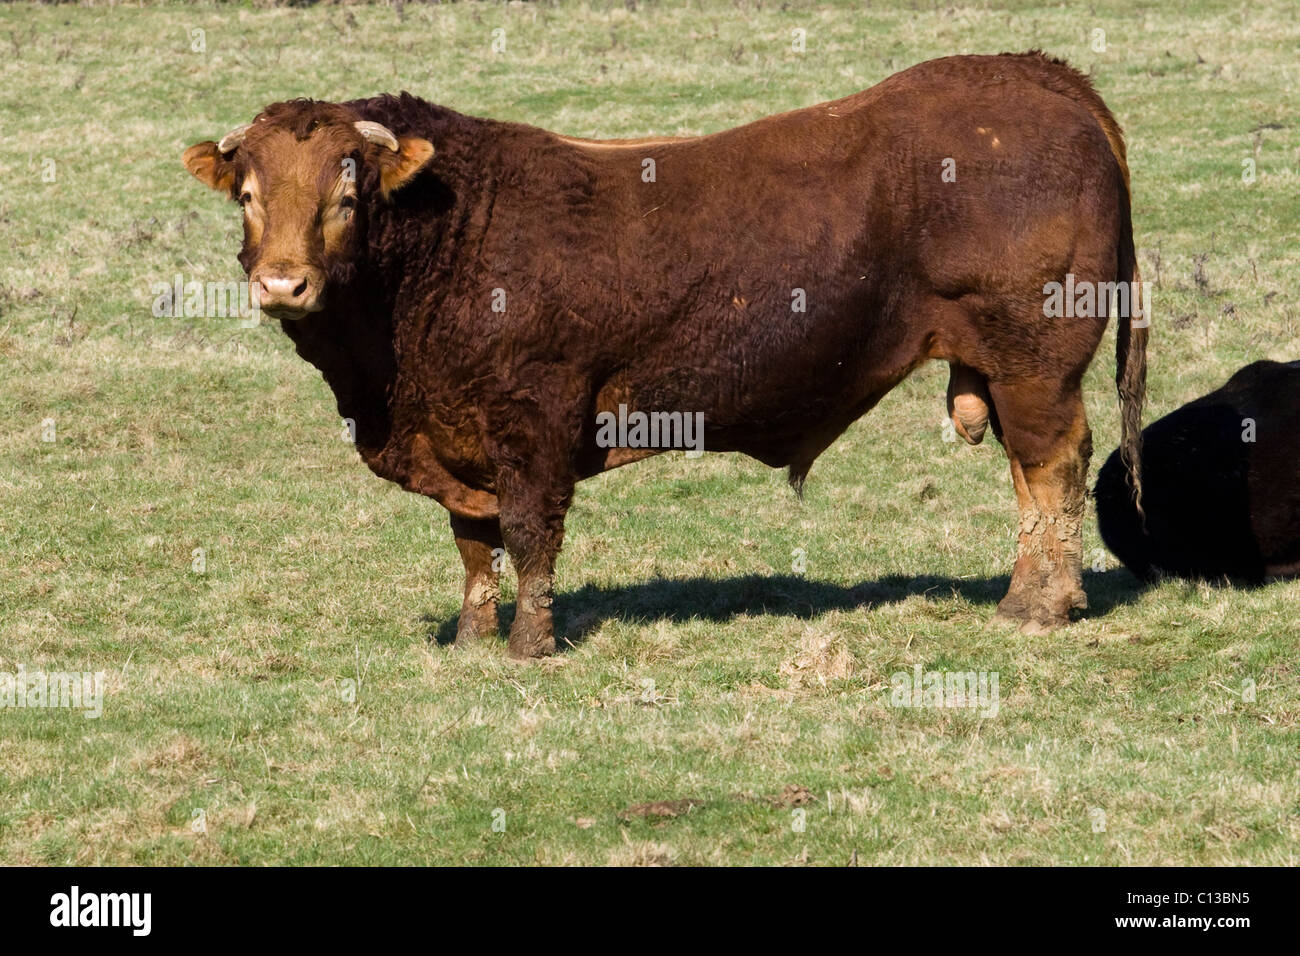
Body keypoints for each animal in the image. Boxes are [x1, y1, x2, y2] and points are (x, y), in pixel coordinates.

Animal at [185, 48, 1149, 655]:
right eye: (248, 194)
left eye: (347, 194)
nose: (281, 284)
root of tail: (1029, 71)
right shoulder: (455, 431)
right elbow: (472, 541)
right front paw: (470, 639)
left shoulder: (534, 416)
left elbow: (529, 530)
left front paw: (528, 644)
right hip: (1007, 366)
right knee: (1029, 471)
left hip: (1037, 362)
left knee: (1054, 464)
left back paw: (1041, 605)